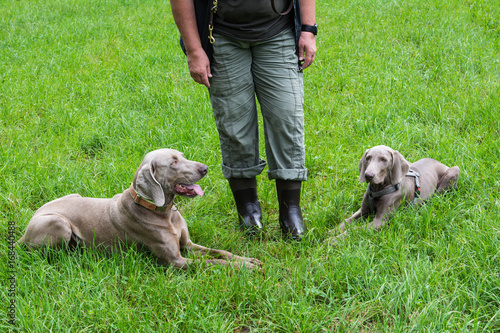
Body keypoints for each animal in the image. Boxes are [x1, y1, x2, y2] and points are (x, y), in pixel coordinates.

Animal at [18, 149, 262, 268]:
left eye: (182, 156)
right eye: (173, 162)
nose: (205, 168)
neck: (165, 214)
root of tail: (25, 230)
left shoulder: (188, 245)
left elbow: (220, 252)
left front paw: (248, 260)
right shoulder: (176, 261)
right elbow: (214, 263)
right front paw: (245, 269)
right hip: (58, 223)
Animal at [330, 144, 458, 240]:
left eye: (384, 160)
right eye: (368, 158)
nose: (368, 175)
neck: (378, 189)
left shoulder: (379, 221)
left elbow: (355, 230)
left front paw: (333, 240)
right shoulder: (363, 210)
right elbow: (347, 221)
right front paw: (333, 231)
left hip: (454, 171)